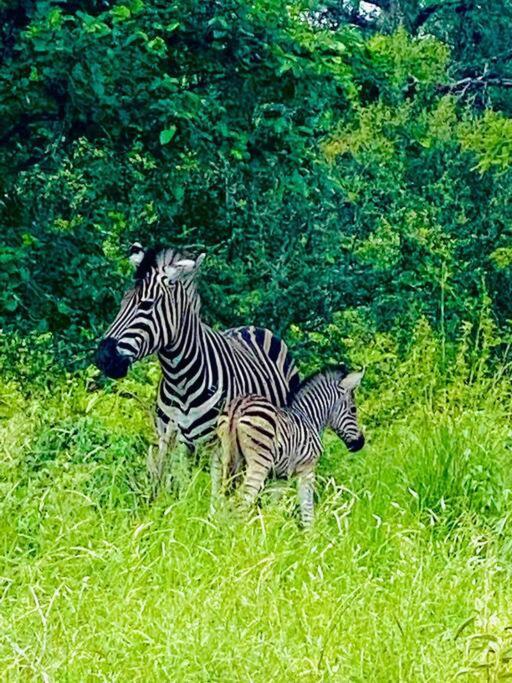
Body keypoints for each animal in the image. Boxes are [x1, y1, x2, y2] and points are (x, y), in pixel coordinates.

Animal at [96, 243, 300, 488]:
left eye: (147, 305)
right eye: (122, 302)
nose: (103, 357)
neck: (179, 379)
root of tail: (255, 327)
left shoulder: (217, 447)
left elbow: (212, 491)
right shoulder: (176, 443)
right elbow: (182, 489)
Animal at [212, 366, 364, 528]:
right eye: (353, 410)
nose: (360, 443)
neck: (309, 418)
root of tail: (239, 405)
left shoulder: (281, 476)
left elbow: (273, 508)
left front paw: (272, 530)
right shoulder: (307, 469)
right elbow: (307, 506)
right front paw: (310, 533)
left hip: (221, 460)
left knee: (218, 500)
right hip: (259, 464)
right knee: (242, 502)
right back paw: (240, 531)